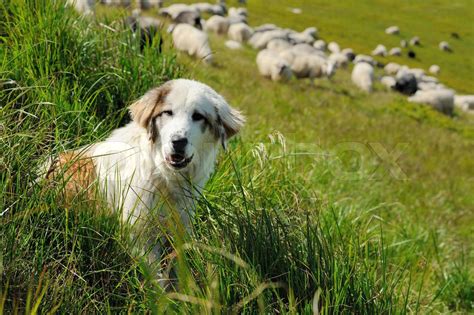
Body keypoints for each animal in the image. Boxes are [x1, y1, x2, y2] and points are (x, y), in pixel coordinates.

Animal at [43, 79, 244, 274]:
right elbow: (158, 279)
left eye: (198, 116)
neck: (164, 176)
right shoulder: (139, 236)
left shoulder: (178, 230)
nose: (178, 141)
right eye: (168, 112)